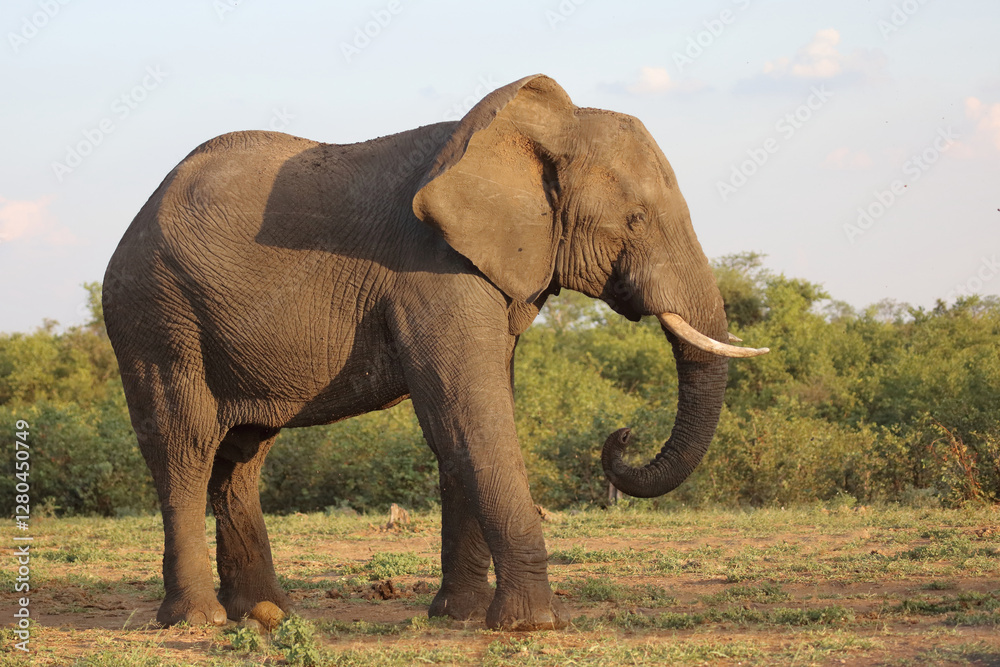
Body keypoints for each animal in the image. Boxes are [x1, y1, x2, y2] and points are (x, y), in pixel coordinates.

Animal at [103, 74, 767, 631]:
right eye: (635, 219)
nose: (622, 435)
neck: (535, 130)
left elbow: (464, 425)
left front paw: (459, 616)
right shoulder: (431, 271)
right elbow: (472, 417)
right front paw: (534, 625)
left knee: (242, 456)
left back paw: (267, 614)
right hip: (157, 317)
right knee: (186, 447)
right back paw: (198, 622)